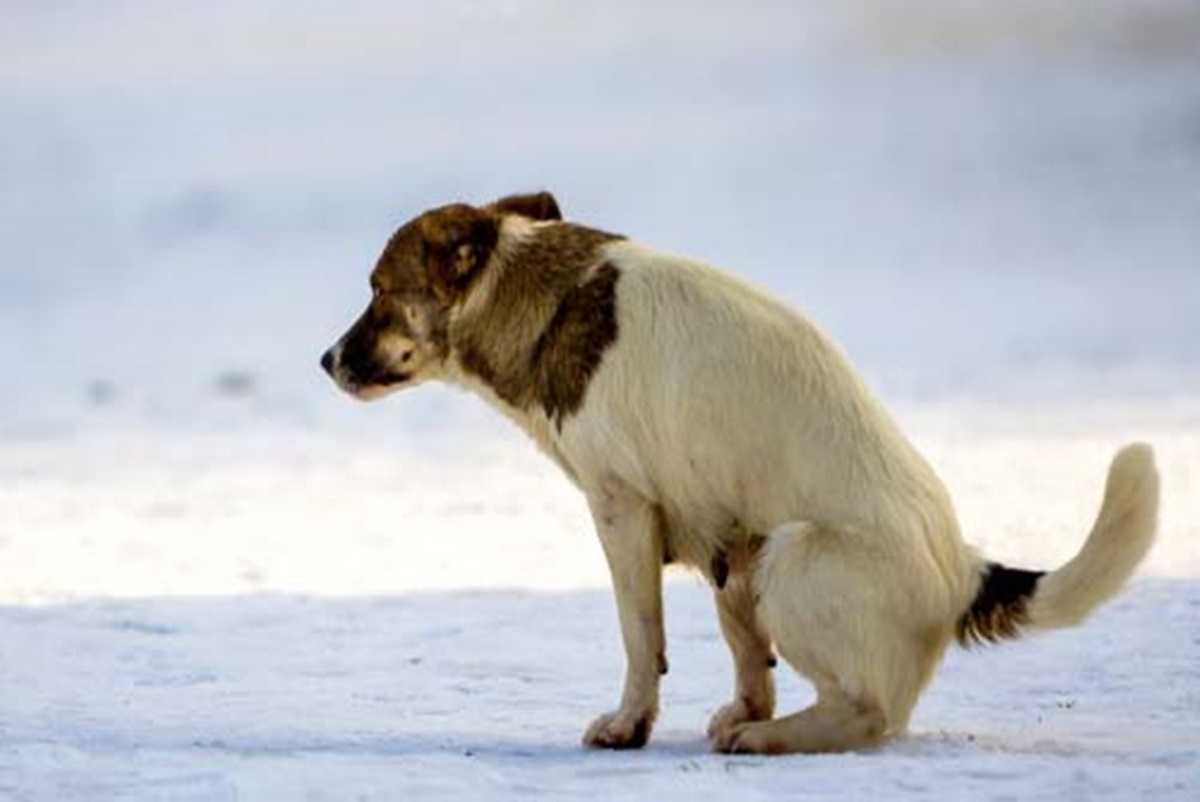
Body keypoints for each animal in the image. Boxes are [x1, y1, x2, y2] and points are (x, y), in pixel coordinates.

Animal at [319, 190, 1152, 753]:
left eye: (379, 292)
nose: (325, 361)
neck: (546, 296)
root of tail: (965, 571)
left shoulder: (620, 507)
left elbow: (638, 636)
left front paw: (628, 725)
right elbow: (713, 655)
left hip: (791, 553)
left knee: (870, 713)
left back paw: (769, 740)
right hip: (741, 555)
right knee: (773, 667)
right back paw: (752, 722)